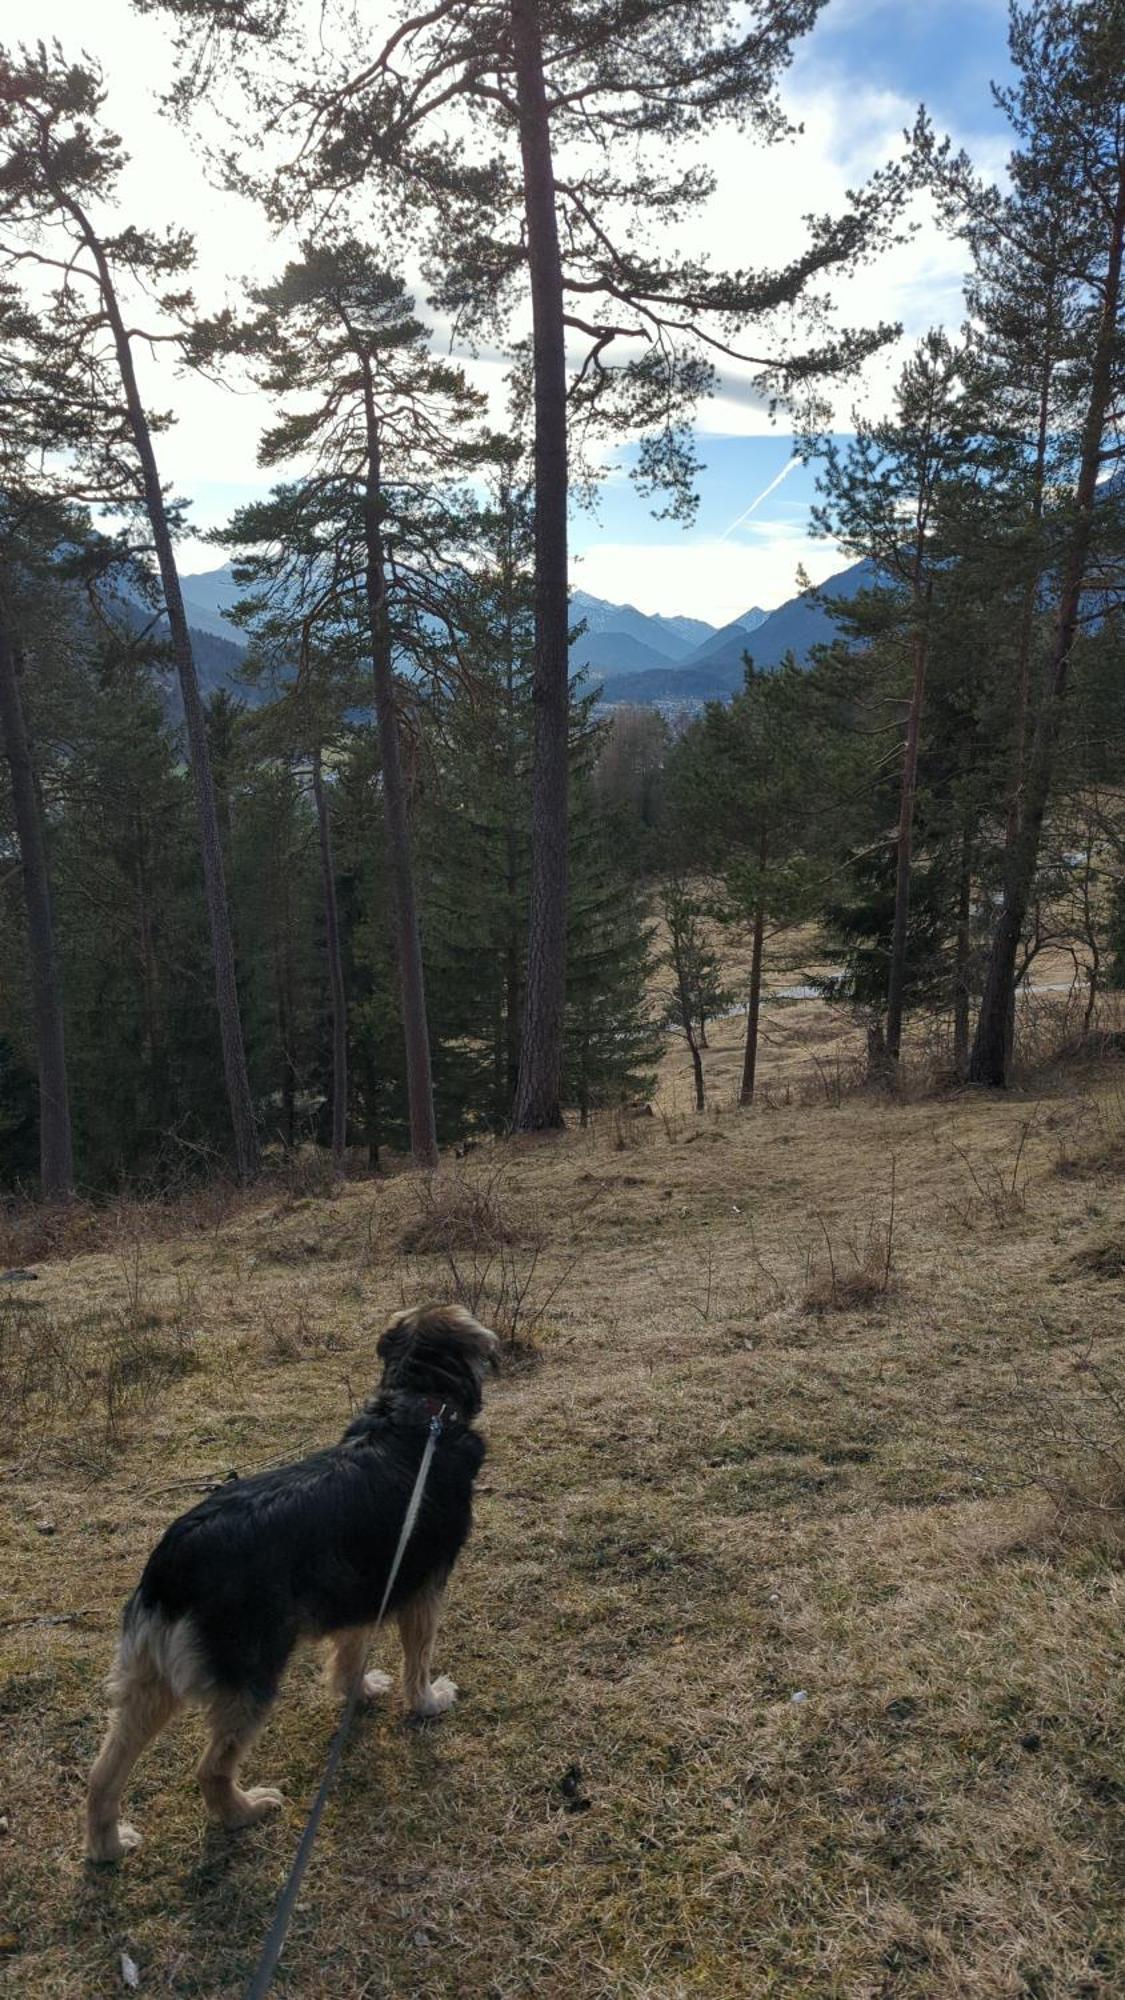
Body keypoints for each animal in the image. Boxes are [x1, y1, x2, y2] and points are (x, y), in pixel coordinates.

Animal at [83, 1304, 494, 1864]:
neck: (418, 1413)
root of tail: (170, 1562)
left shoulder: (362, 1587)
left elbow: (350, 1653)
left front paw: (358, 1690)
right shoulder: (423, 1591)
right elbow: (418, 1660)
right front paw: (429, 1702)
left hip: (149, 1681)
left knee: (102, 1773)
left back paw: (108, 1846)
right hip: (252, 1677)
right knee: (210, 1769)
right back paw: (244, 1812)